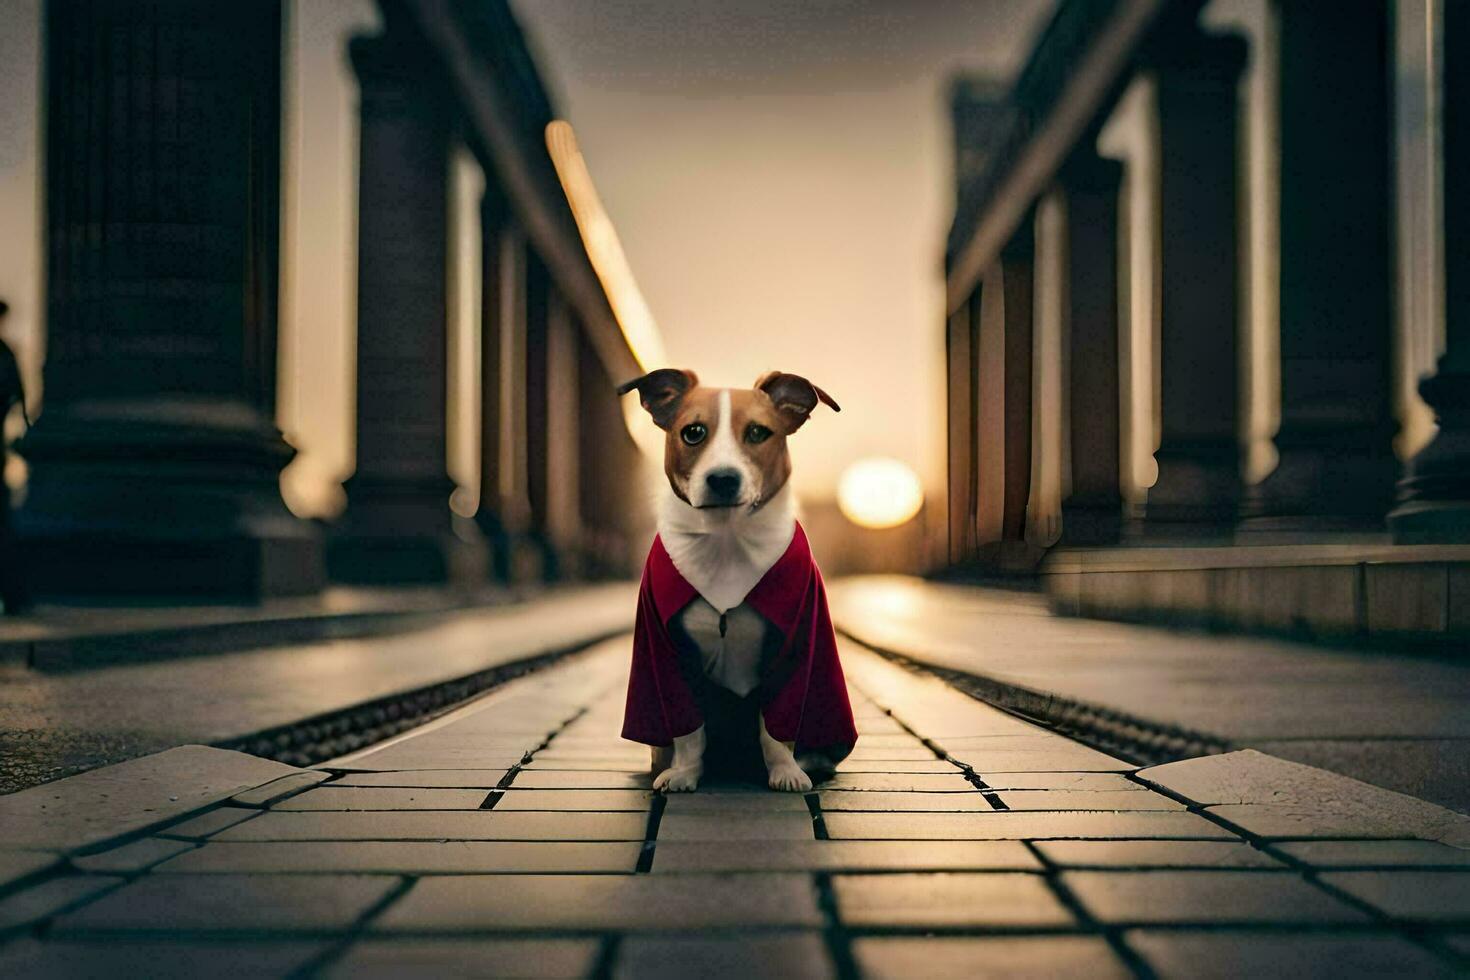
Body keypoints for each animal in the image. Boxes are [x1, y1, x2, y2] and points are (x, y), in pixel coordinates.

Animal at [614, 371, 858, 793]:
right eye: (693, 432)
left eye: (759, 432)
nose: (723, 479)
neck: (726, 542)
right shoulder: (665, 648)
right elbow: (688, 729)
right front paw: (684, 772)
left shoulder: (795, 639)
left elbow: (777, 727)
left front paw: (786, 771)